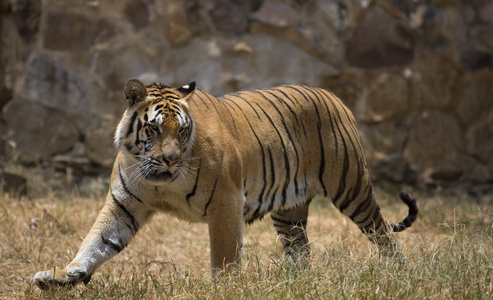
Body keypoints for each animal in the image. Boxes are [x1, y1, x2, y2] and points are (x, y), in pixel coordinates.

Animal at [31, 79, 416, 288]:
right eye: (153, 129)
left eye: (182, 131)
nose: (170, 160)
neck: (162, 181)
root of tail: (334, 96)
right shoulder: (123, 205)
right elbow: (95, 242)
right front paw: (63, 276)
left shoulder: (226, 202)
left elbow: (225, 256)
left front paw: (225, 288)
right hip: (289, 211)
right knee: (301, 250)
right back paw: (294, 283)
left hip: (351, 187)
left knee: (383, 233)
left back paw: (396, 272)